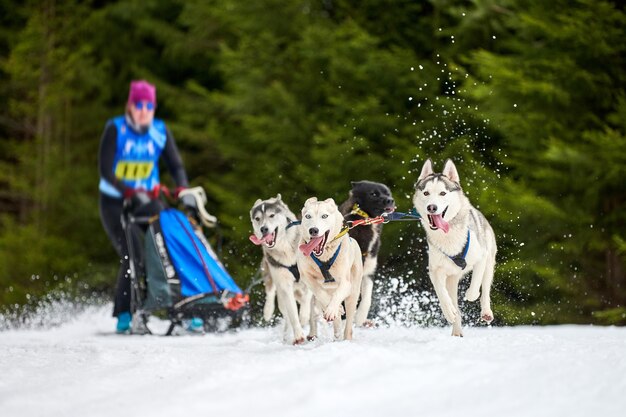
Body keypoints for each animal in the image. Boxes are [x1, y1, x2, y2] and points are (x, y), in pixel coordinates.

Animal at [247, 193, 312, 342]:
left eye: (271, 215)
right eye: (257, 219)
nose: (263, 229)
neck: (285, 246)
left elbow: (306, 300)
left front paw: (304, 316)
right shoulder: (284, 284)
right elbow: (293, 314)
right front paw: (298, 336)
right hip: (270, 276)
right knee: (273, 296)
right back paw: (269, 313)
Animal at [296, 197, 364, 340]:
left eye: (324, 216)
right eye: (308, 216)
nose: (313, 230)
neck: (324, 257)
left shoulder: (345, 283)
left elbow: (338, 294)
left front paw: (333, 309)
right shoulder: (307, 278)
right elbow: (320, 292)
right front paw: (335, 310)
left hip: (353, 294)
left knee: (348, 324)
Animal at [338, 180, 392, 326]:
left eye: (388, 193)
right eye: (373, 194)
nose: (390, 200)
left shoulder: (368, 272)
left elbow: (367, 298)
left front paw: (360, 318)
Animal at [412, 158, 494, 336]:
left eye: (443, 193)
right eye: (426, 193)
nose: (432, 207)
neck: (448, 236)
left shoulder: (481, 257)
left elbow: (476, 282)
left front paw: (470, 295)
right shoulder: (435, 270)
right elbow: (441, 293)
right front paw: (449, 311)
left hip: (490, 262)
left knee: (485, 287)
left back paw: (486, 311)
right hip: (451, 278)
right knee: (453, 300)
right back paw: (456, 330)